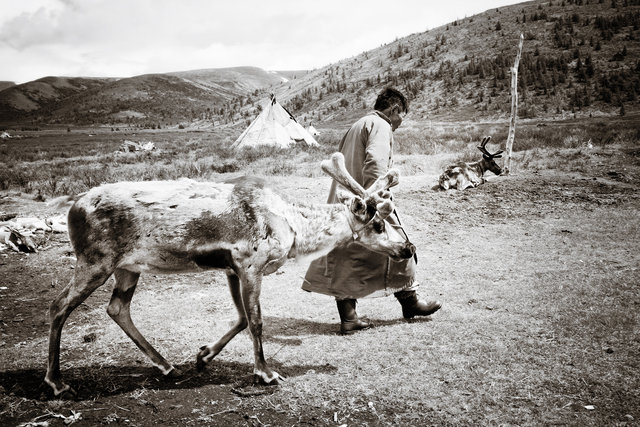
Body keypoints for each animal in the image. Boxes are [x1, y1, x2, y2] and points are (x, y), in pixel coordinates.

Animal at [44, 152, 416, 397]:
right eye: (379, 224)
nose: (408, 248)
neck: (293, 227)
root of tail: (73, 206)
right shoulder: (250, 264)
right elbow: (256, 321)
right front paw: (265, 372)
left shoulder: (231, 269)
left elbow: (240, 318)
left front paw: (204, 355)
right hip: (95, 261)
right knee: (59, 305)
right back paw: (56, 381)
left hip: (127, 268)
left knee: (117, 308)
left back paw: (165, 365)